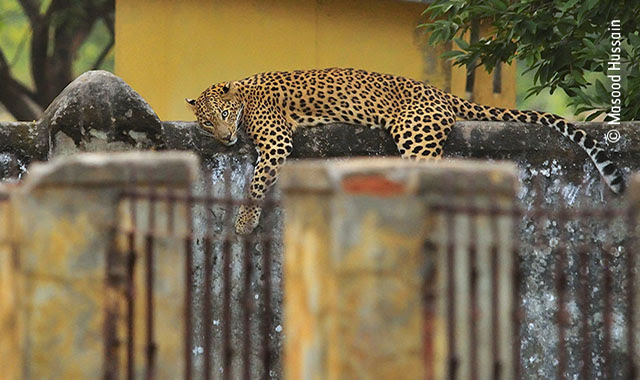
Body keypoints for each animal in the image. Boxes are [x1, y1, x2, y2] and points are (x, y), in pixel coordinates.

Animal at [185, 68, 624, 235]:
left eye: (224, 114)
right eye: (206, 122)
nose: (224, 137)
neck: (243, 95)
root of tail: (443, 94)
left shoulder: (276, 139)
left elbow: (257, 181)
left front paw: (245, 221)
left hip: (414, 135)